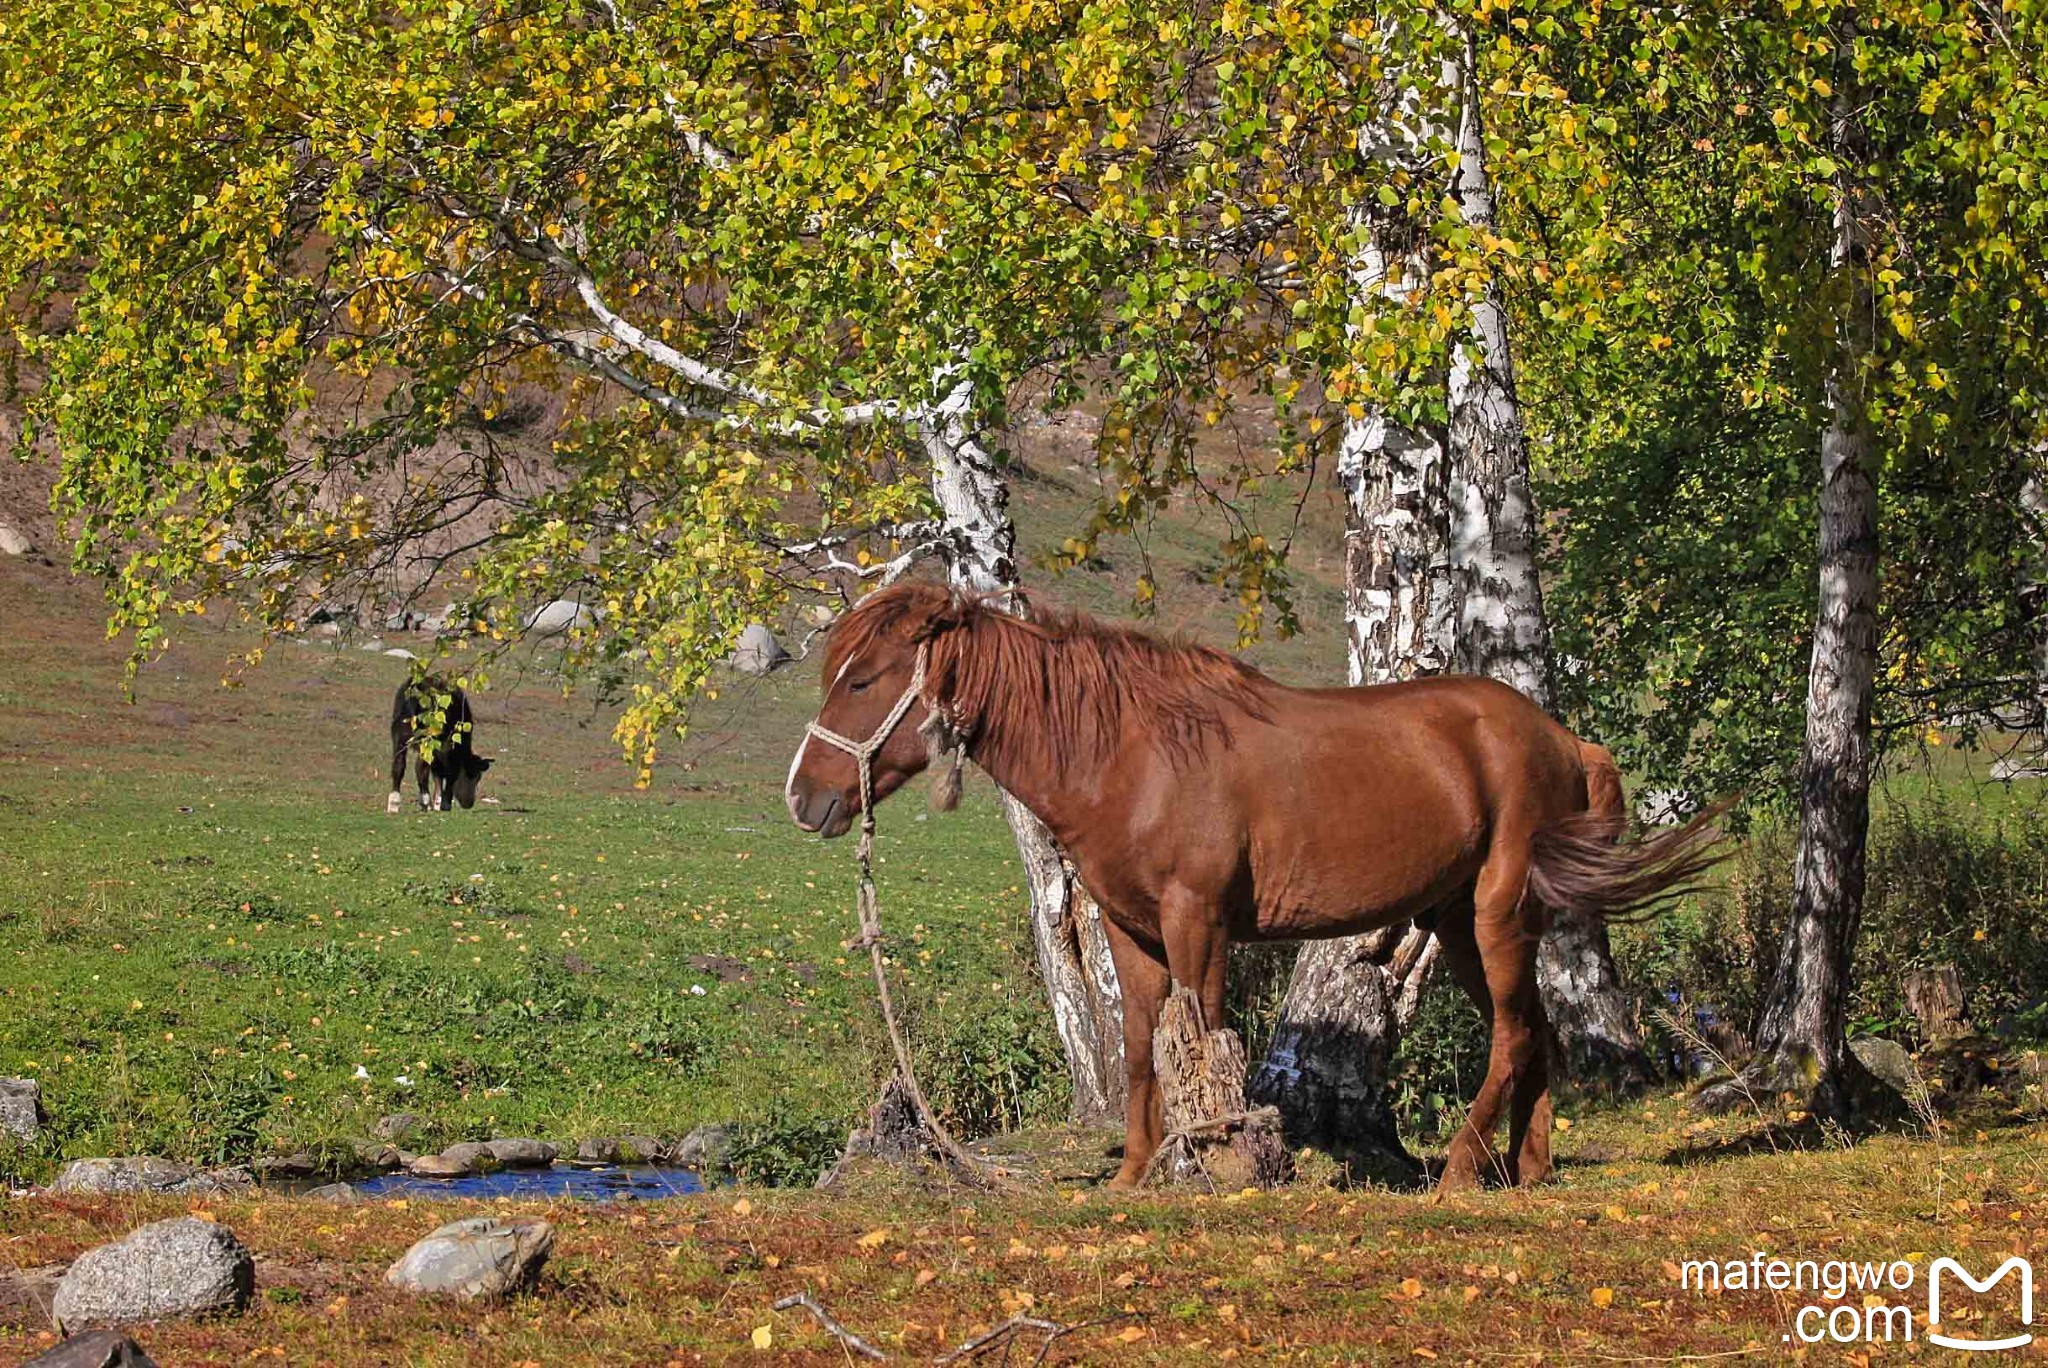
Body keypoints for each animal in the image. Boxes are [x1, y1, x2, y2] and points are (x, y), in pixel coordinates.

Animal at [790, 581, 1720, 1187]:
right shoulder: (1131, 931)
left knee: (1516, 1035)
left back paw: (1461, 1168)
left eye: (864, 679)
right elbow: (1141, 1050)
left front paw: (1222, 1158)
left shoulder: (1198, 923)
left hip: (1497, 912)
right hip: (1459, 923)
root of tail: (1564, 740)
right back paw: (1526, 1168)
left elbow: (1203, 1039)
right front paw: (1137, 1174)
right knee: (1530, 1033)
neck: (1129, 756)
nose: (805, 798)